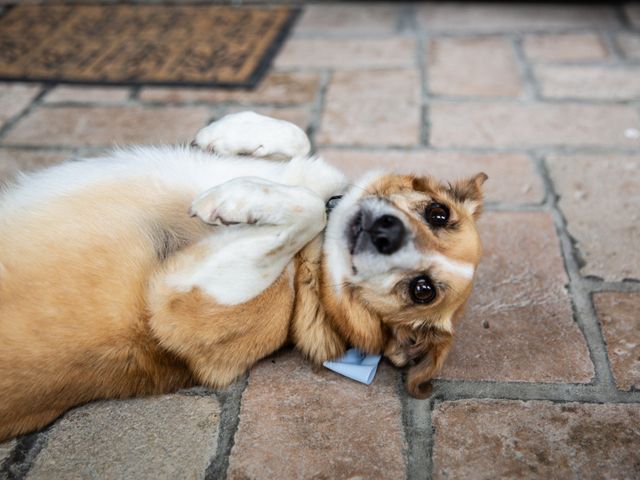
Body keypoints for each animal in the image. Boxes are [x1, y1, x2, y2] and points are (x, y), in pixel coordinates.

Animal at [0, 110, 484, 440]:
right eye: (438, 213)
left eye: (422, 290)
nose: (387, 231)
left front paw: (238, 196)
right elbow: (298, 136)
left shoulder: (181, 303)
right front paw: (227, 134)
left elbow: (306, 208)